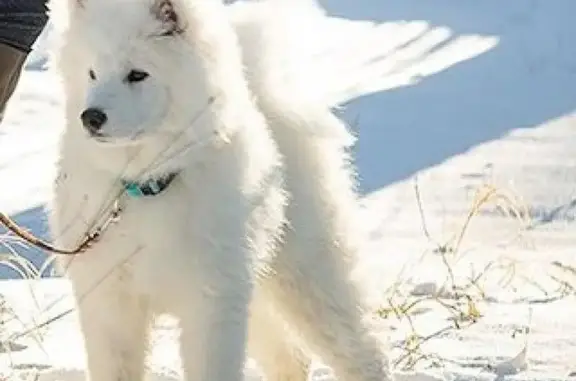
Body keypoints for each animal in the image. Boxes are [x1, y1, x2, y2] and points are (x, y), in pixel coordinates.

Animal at [47, 0, 390, 380]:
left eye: (137, 74)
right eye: (92, 73)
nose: (90, 117)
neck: (148, 184)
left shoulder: (210, 304)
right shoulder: (109, 304)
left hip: (310, 277)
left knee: (362, 353)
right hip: (258, 294)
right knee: (290, 359)